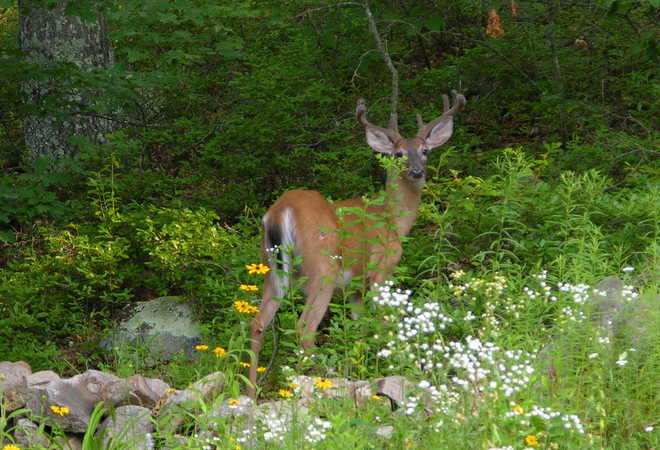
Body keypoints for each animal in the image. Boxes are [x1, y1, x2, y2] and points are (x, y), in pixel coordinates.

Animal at [248, 90, 464, 398]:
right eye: (398, 154)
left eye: (425, 151)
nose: (415, 172)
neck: (391, 218)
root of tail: (280, 210)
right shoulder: (381, 269)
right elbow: (382, 324)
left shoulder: (354, 287)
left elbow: (360, 328)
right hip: (322, 268)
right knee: (304, 328)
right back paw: (321, 380)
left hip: (272, 268)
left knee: (258, 323)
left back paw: (250, 394)